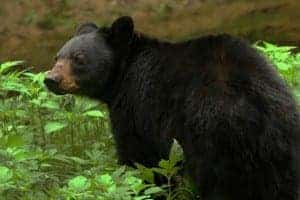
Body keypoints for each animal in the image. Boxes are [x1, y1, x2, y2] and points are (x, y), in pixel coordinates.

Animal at [45, 16, 300, 199]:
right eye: (57, 56)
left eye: (79, 58)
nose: (51, 79)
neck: (123, 74)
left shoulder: (135, 108)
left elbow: (140, 161)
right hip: (282, 142)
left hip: (211, 135)